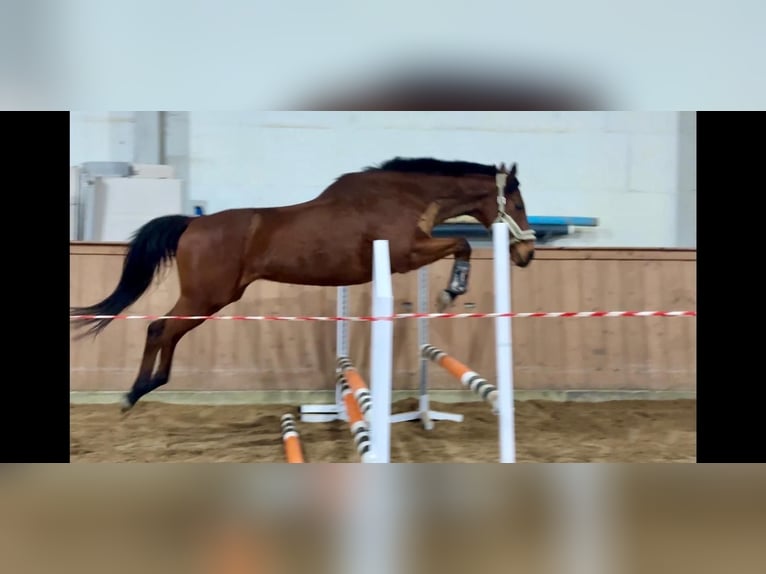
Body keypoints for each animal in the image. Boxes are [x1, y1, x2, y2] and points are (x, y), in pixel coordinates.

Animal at [70, 157, 536, 412]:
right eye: (516, 203)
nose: (526, 254)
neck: (405, 197)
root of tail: (192, 223)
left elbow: (459, 244)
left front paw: (452, 288)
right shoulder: (406, 255)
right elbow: (461, 244)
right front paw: (453, 288)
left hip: (208, 297)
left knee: (164, 330)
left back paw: (143, 390)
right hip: (207, 296)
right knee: (159, 329)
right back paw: (134, 394)